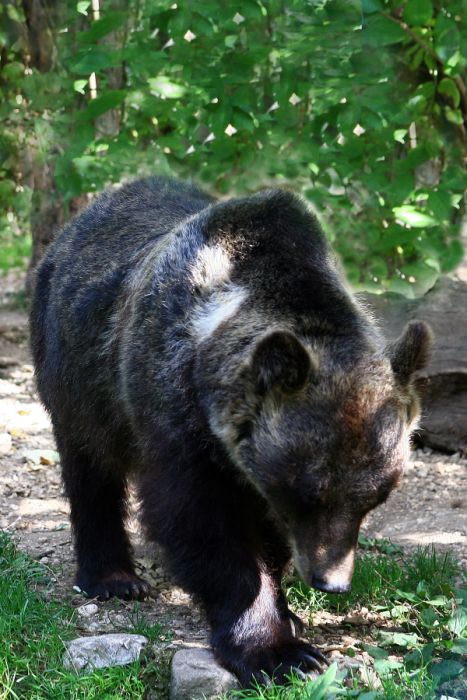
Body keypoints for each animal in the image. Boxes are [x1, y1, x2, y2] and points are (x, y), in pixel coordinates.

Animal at [30, 177, 432, 686]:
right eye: (310, 493)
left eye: (375, 498)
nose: (332, 582)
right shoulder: (173, 409)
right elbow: (201, 524)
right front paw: (278, 651)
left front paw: (289, 613)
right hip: (76, 374)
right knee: (90, 471)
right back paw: (113, 578)